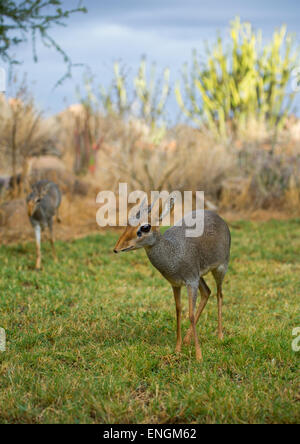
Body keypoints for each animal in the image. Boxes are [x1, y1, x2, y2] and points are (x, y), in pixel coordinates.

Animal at [113, 198, 231, 360]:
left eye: (145, 227)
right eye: (128, 221)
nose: (117, 248)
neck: (173, 253)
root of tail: (217, 216)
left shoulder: (191, 282)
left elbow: (191, 314)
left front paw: (199, 356)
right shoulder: (176, 284)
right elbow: (178, 311)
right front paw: (177, 349)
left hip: (220, 269)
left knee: (219, 294)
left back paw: (220, 336)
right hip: (200, 276)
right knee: (207, 292)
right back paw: (187, 340)